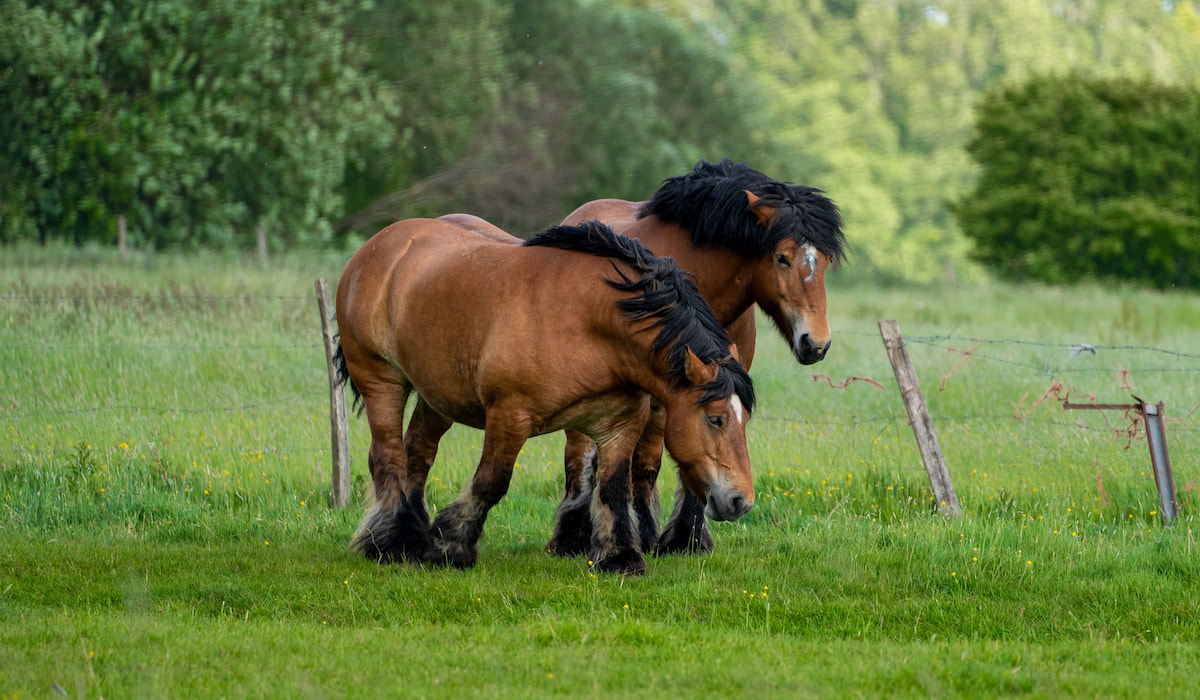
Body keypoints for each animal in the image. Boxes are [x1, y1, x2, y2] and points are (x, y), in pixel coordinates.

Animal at [333, 218, 753, 576]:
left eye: (743, 419)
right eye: (715, 418)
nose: (741, 501)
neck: (589, 321)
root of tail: (377, 246)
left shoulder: (620, 425)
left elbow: (614, 487)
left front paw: (619, 557)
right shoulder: (509, 416)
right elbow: (491, 482)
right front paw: (451, 546)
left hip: (436, 397)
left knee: (417, 455)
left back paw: (411, 534)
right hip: (382, 382)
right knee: (388, 457)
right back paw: (393, 544)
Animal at [549, 158, 849, 559]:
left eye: (826, 260)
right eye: (782, 258)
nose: (816, 344)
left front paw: (686, 539)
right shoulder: (660, 395)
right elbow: (645, 463)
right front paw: (650, 537)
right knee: (580, 456)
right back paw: (571, 538)